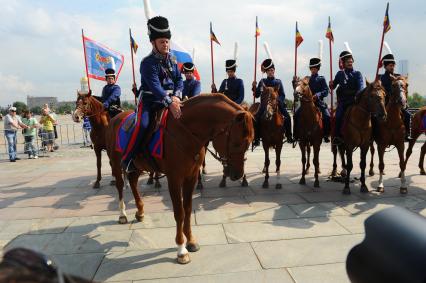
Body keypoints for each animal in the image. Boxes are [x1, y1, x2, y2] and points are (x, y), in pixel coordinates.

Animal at [106, 94, 253, 266]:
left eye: (249, 143)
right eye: (237, 143)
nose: (238, 175)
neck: (186, 131)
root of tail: (116, 118)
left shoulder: (191, 177)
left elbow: (188, 209)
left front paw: (190, 241)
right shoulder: (174, 178)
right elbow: (179, 212)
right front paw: (181, 250)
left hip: (138, 165)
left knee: (134, 182)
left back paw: (140, 211)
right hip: (117, 163)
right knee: (120, 185)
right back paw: (122, 214)